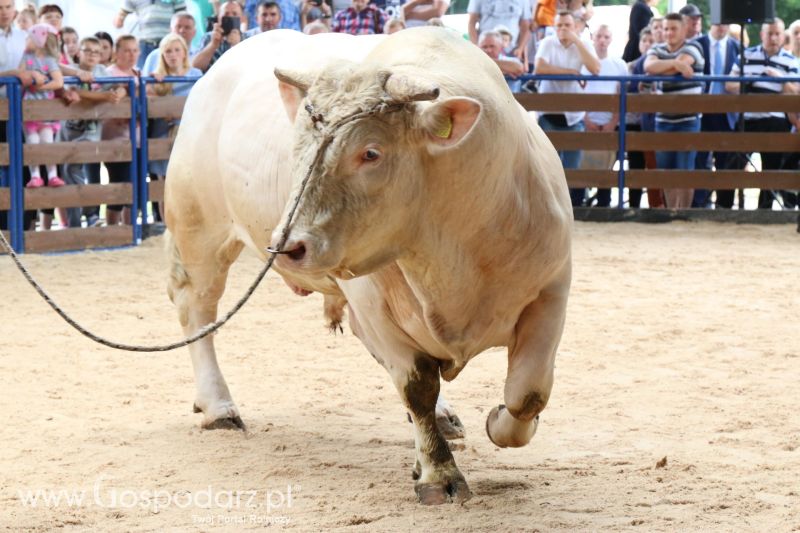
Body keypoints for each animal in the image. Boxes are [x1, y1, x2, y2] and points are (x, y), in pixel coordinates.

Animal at [166, 28, 572, 502]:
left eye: (371, 153)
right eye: (297, 148)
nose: (287, 245)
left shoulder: (552, 291)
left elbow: (527, 393)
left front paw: (496, 424)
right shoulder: (375, 304)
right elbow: (416, 385)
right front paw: (438, 474)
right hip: (199, 231)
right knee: (198, 313)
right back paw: (218, 407)